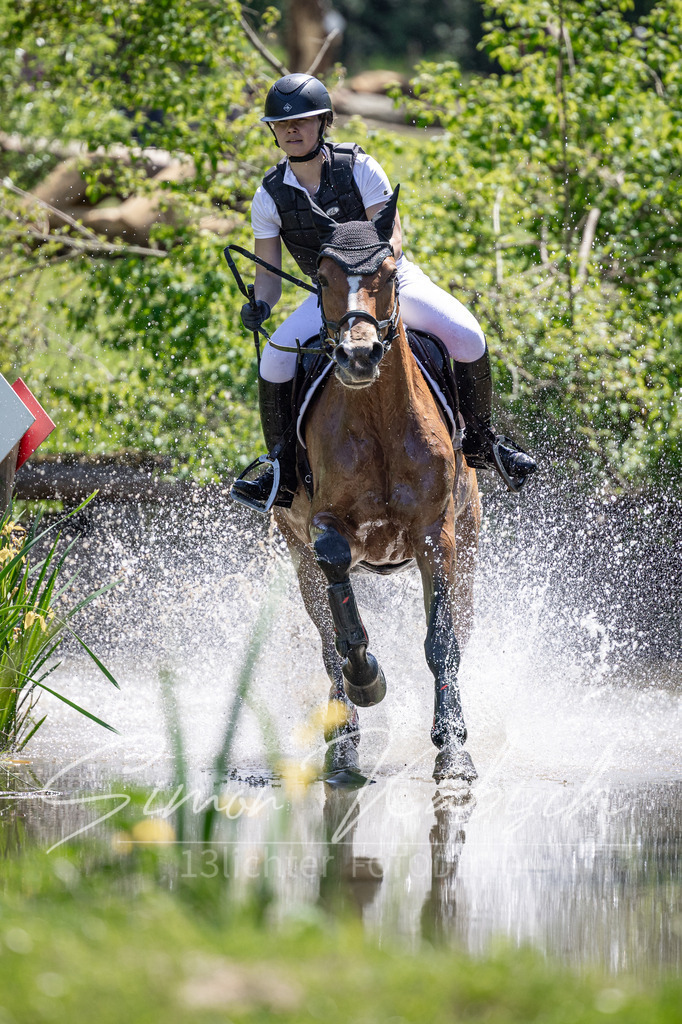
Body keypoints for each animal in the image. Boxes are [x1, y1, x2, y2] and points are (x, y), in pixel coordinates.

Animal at [274, 186, 481, 784]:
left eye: (388, 273)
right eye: (321, 277)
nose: (358, 355)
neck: (379, 420)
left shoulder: (437, 535)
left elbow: (443, 641)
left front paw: (453, 750)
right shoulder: (323, 528)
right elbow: (340, 599)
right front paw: (368, 678)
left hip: (470, 546)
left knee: (463, 628)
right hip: (297, 557)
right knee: (326, 644)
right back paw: (343, 744)